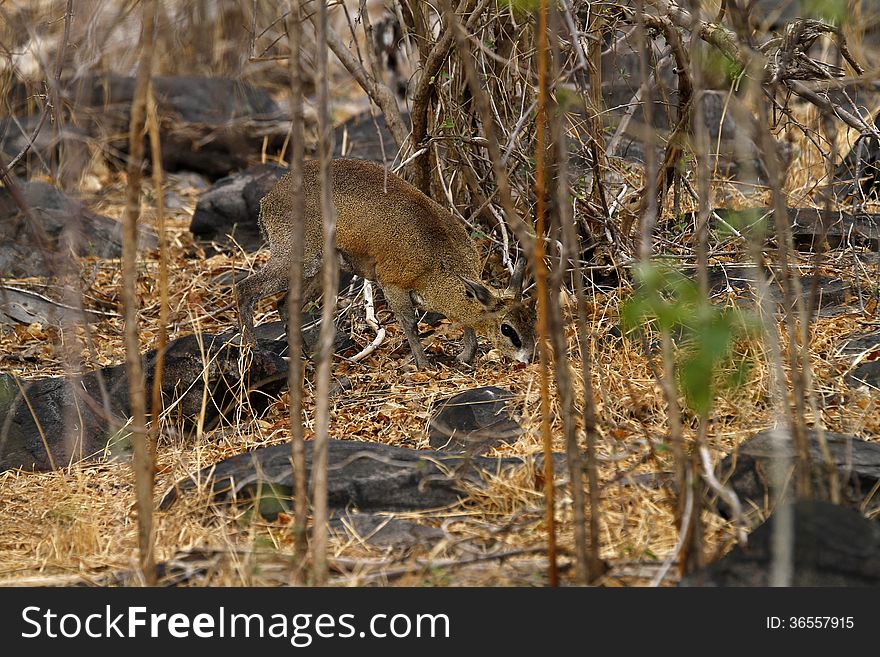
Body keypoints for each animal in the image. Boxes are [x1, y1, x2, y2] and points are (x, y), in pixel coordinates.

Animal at [235, 156, 536, 366]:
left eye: (531, 318)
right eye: (507, 329)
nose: (530, 357)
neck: (437, 260)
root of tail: (267, 200)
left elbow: (464, 318)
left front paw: (465, 357)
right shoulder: (392, 285)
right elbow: (411, 325)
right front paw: (423, 364)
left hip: (319, 269)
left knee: (284, 304)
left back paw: (307, 356)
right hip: (298, 260)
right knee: (244, 288)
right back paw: (254, 351)